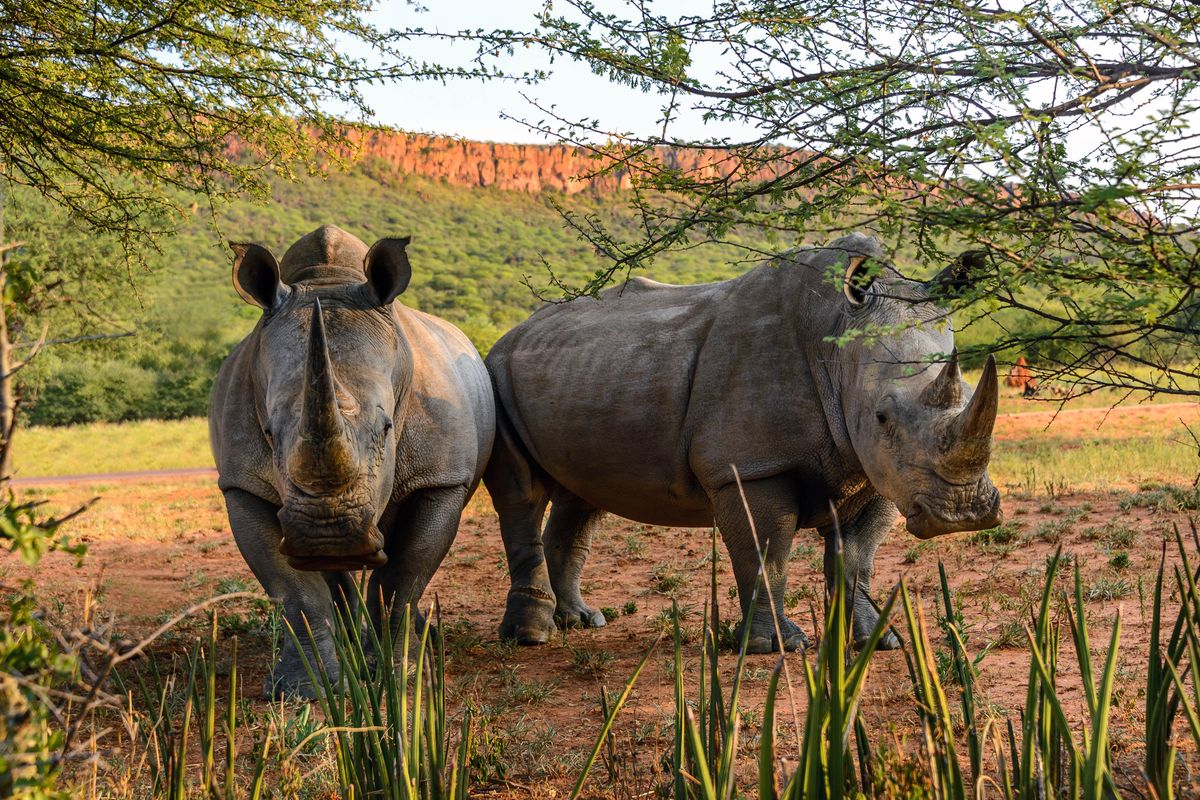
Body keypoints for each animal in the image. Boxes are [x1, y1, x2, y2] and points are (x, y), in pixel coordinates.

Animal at [210, 225, 494, 697]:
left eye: (387, 429)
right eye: (268, 433)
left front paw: (403, 676)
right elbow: (294, 589)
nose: (328, 535)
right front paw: (301, 690)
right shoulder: (242, 484)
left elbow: (402, 579)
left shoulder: (440, 478)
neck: (328, 281)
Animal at [484, 233, 1002, 653]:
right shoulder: (750, 466)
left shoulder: (874, 467)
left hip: (585, 371)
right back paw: (531, 636)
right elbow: (766, 552)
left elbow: (857, 556)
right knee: (523, 494)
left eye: (968, 390)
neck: (838, 343)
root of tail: (515, 331)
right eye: (882, 416)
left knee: (583, 497)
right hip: (497, 372)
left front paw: (875, 642)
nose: (963, 514)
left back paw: (580, 621)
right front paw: (775, 647)